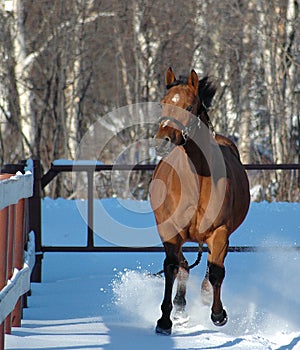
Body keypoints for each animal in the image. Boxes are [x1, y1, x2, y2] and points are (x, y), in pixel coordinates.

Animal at [150, 67, 251, 334]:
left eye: (189, 106)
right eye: (163, 103)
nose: (162, 141)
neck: (196, 180)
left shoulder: (219, 232)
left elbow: (216, 271)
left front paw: (218, 314)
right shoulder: (170, 232)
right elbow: (172, 267)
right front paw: (164, 320)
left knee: (212, 266)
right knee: (184, 266)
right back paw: (180, 306)